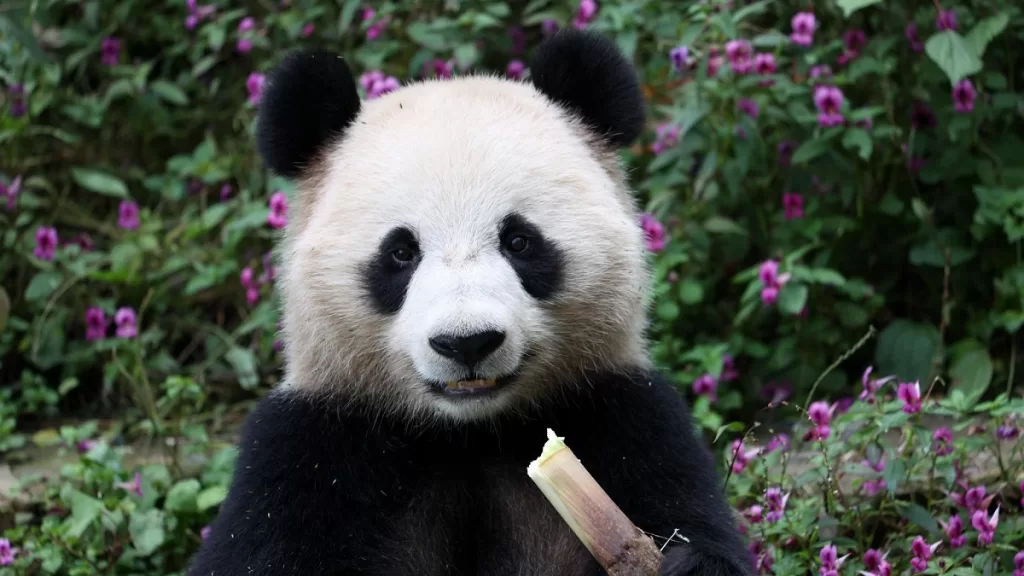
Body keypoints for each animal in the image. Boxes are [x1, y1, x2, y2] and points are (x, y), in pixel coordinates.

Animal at [187, 29, 752, 576]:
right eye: (400, 252)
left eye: (520, 241)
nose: (467, 343)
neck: (470, 434)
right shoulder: (313, 451)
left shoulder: (624, 416)